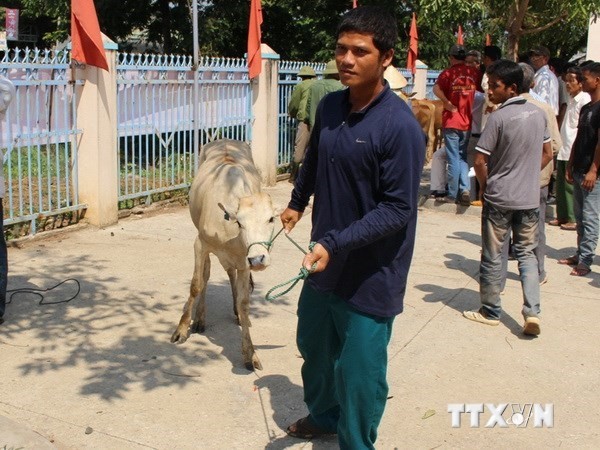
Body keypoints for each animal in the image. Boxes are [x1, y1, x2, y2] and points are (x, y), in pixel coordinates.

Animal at [171, 139, 276, 370]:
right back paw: (200, 318)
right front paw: (181, 329)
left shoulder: (244, 262)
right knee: (206, 274)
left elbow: (244, 303)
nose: (258, 259)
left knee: (229, 274)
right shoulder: (200, 244)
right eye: (240, 222)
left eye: (272, 219)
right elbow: (196, 284)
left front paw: (250, 354)